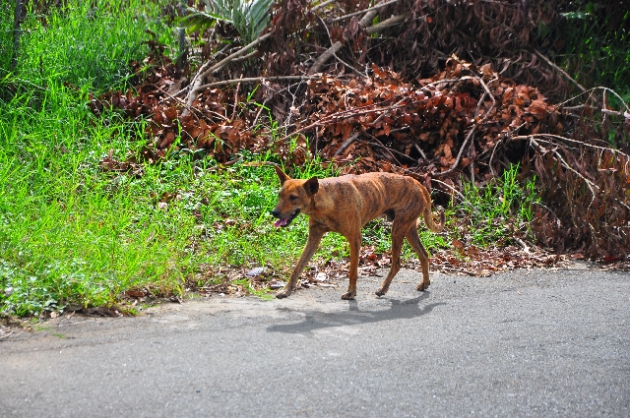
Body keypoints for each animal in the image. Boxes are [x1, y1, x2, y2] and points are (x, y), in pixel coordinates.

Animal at [272, 167, 444, 300]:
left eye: (293, 198)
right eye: (279, 195)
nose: (274, 213)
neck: (326, 200)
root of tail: (420, 185)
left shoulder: (355, 239)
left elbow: (353, 271)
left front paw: (351, 292)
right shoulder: (313, 238)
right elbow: (298, 267)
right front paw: (286, 290)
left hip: (398, 231)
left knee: (397, 263)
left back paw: (383, 288)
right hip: (408, 229)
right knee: (424, 254)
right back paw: (424, 283)